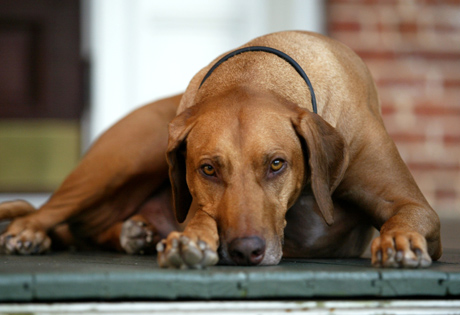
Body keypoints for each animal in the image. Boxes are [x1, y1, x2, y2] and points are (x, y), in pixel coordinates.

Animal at [0, 31, 442, 270]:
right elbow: (199, 219)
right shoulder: (198, 197)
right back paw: (31, 235)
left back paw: (131, 233)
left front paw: (399, 242)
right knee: (46, 212)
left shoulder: (415, 206)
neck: (256, 71)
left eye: (277, 164)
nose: (246, 251)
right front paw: (190, 241)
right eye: (208, 169)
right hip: (125, 159)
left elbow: (405, 216)